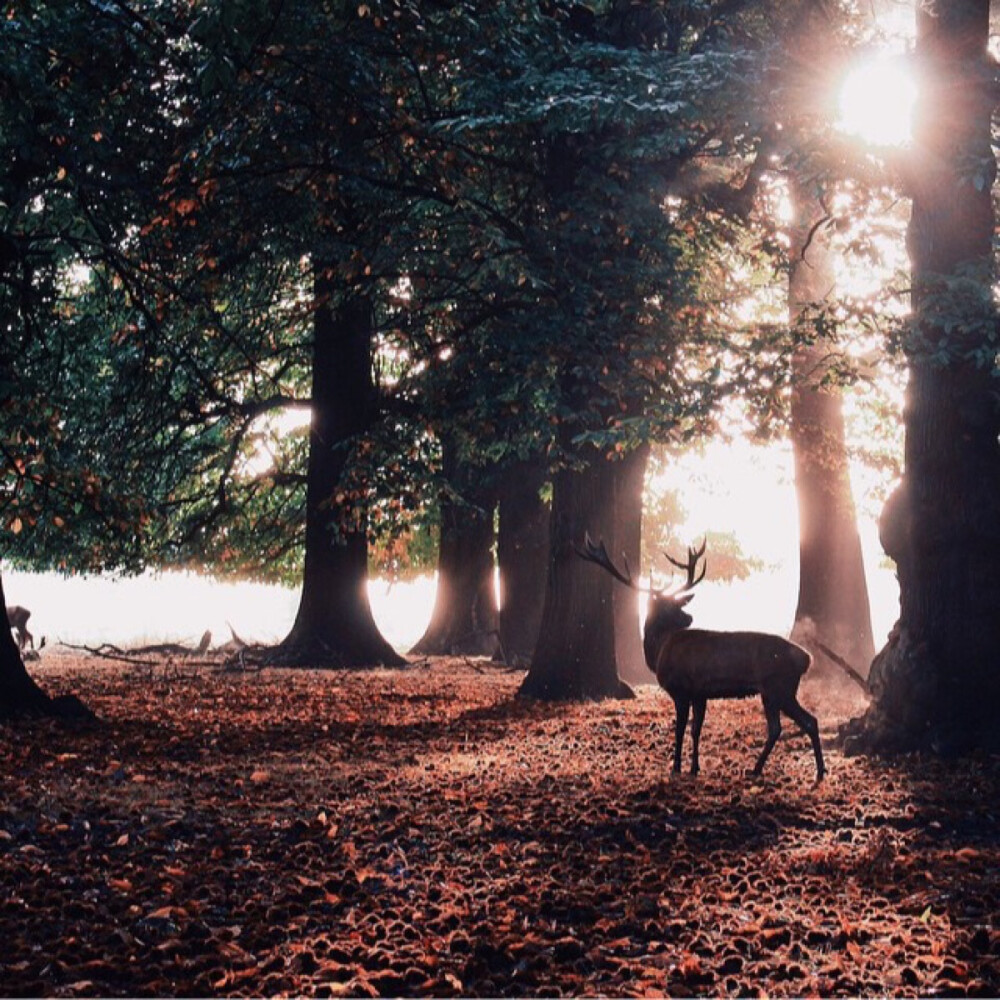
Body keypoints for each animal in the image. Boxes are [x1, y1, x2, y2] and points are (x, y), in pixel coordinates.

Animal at [576, 540, 824, 780]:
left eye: (677, 603)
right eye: (668, 604)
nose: (689, 617)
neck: (659, 652)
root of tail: (806, 658)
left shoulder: (681, 689)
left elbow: (680, 729)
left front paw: (676, 767)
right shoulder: (699, 694)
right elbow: (696, 729)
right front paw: (695, 767)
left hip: (779, 687)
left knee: (804, 721)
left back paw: (811, 770)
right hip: (772, 692)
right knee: (783, 726)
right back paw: (764, 769)